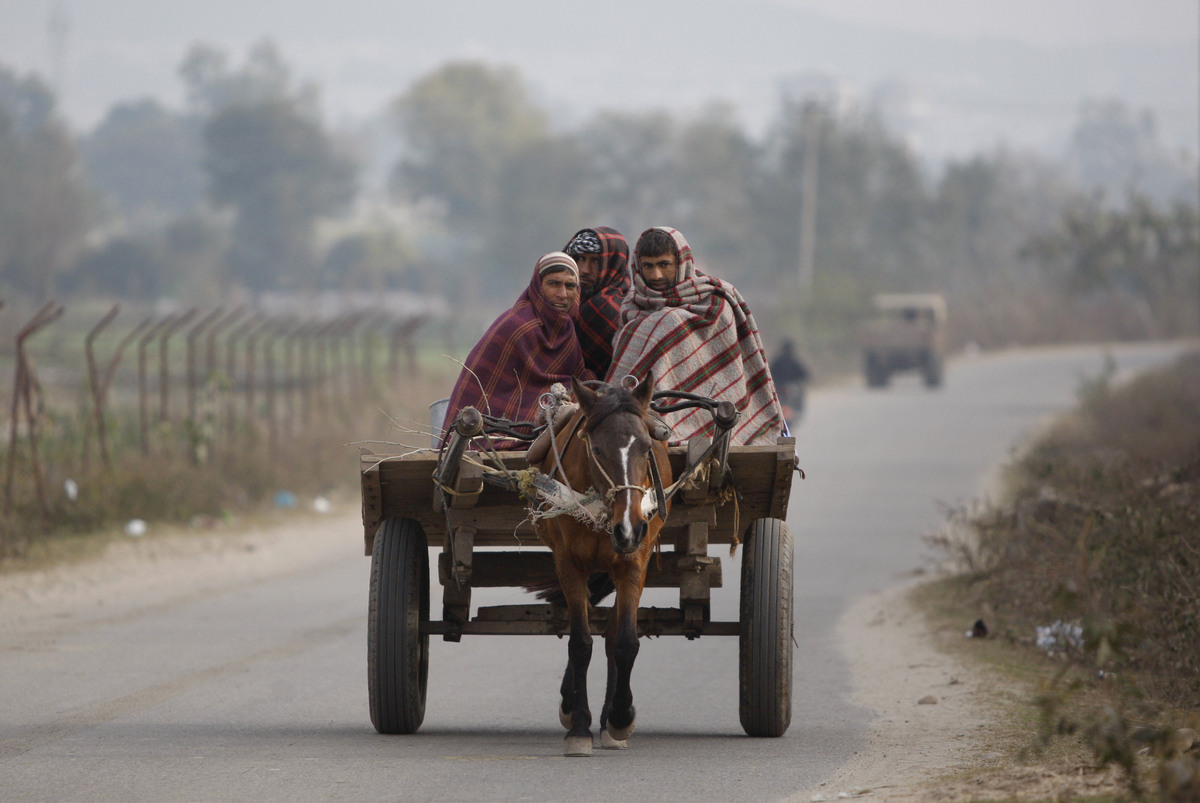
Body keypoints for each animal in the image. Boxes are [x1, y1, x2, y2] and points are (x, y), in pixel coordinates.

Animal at [535, 372, 676, 753]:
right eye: (597, 449)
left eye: (646, 447)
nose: (629, 527)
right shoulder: (568, 563)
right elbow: (580, 643)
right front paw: (579, 727)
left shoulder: (634, 562)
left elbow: (625, 640)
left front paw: (620, 717)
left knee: (613, 633)